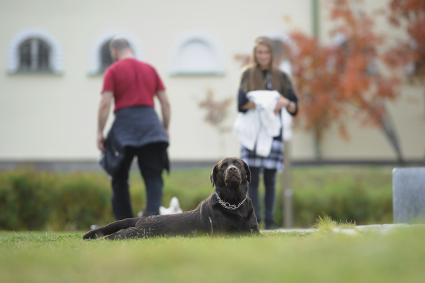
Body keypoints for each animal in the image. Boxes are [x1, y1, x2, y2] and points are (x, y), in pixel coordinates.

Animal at [81, 158, 256, 240]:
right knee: (114, 235)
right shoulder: (226, 234)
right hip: (137, 233)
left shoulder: (254, 232)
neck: (234, 203)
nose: (232, 170)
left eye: (238, 164)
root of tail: (142, 218)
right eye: (223, 166)